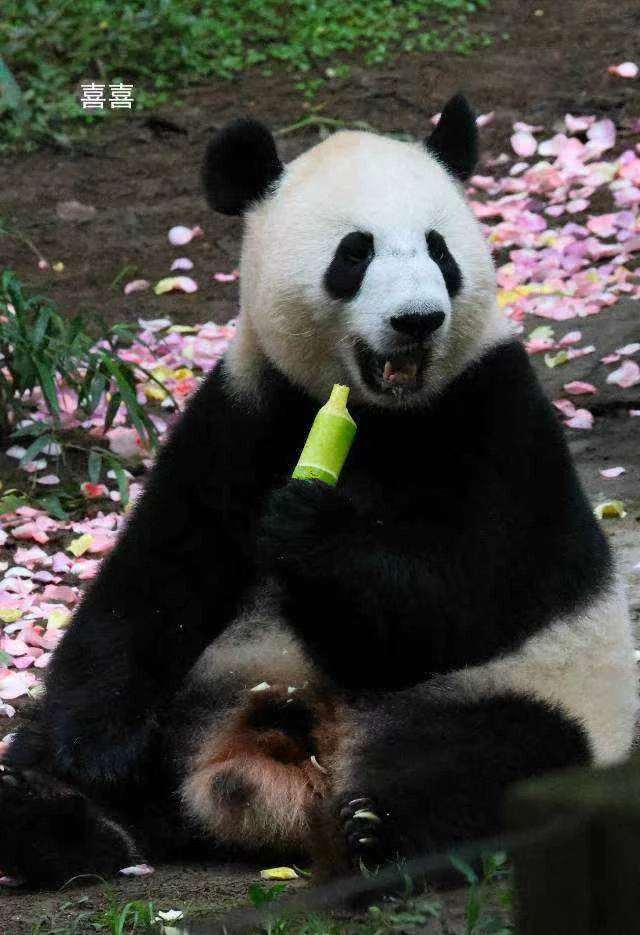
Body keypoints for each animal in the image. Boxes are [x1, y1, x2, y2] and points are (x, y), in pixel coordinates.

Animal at [0, 93, 637, 888]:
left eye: (440, 250)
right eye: (355, 253)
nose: (418, 319)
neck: (380, 413)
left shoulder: (499, 414)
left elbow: (467, 594)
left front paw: (306, 527)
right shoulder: (250, 405)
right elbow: (157, 575)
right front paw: (96, 751)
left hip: (543, 692)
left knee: (504, 757)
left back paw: (375, 829)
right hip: (216, 679)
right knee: (59, 753)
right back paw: (49, 817)